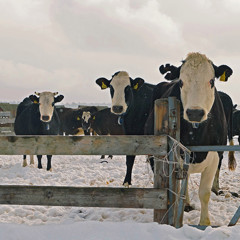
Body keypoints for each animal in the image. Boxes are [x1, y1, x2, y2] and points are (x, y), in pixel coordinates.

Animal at [144, 52, 232, 225]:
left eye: (211, 81)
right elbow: (177, 190)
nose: (195, 113)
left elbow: (204, 193)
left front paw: (205, 223)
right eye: (181, 82)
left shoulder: (215, 154)